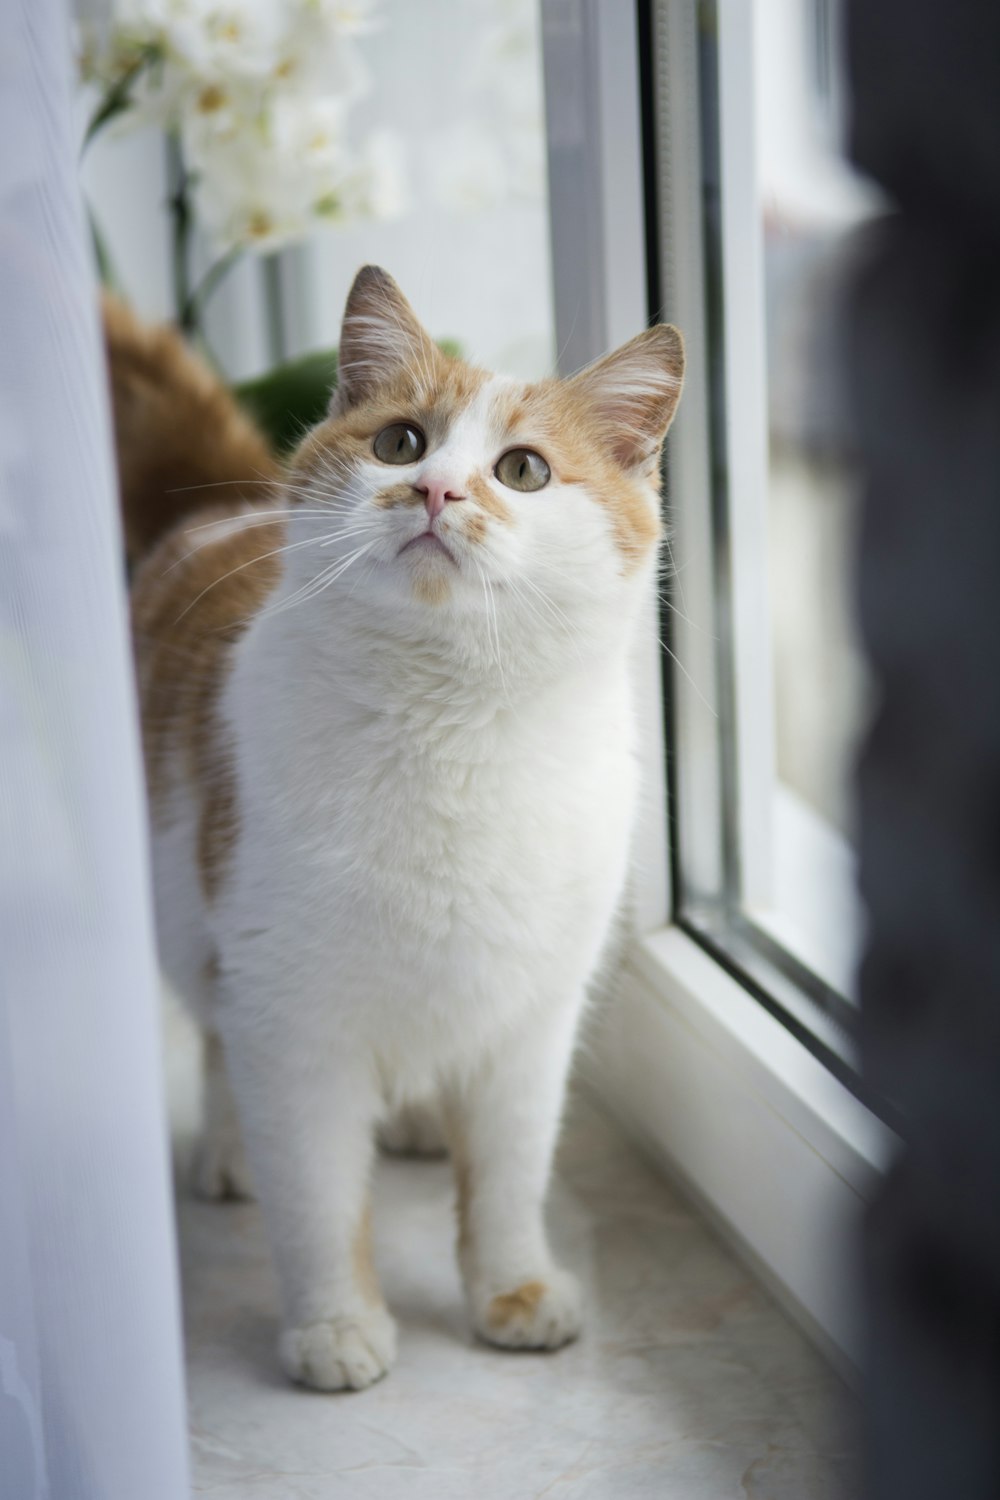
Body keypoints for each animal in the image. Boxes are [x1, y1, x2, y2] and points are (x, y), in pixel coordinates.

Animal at [105, 261, 683, 1392]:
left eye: (523, 470)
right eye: (401, 443)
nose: (435, 492)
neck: (449, 724)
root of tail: (218, 511)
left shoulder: (531, 1016)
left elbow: (507, 1176)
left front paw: (514, 1291)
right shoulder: (289, 1010)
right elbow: (319, 1197)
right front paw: (334, 1327)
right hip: (191, 917)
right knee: (216, 1036)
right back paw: (230, 1151)